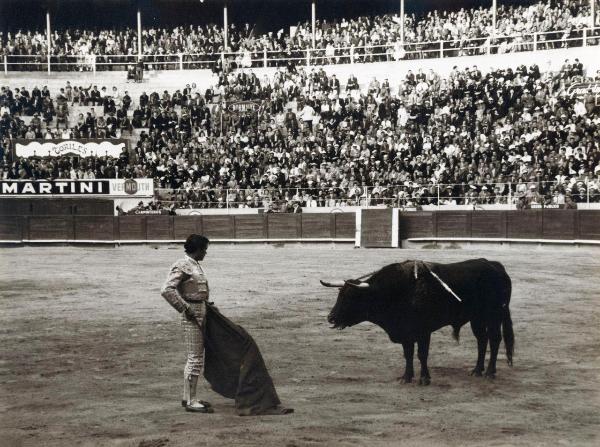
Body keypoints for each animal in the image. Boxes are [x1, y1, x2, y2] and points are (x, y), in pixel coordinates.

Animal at [322, 260, 512, 384]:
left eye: (351, 298)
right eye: (339, 295)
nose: (331, 318)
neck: (397, 291)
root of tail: (496, 266)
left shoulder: (423, 331)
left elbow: (422, 354)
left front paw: (424, 379)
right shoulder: (405, 331)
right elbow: (408, 354)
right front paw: (406, 377)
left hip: (494, 315)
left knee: (495, 339)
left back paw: (489, 372)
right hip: (477, 319)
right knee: (482, 340)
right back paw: (477, 370)